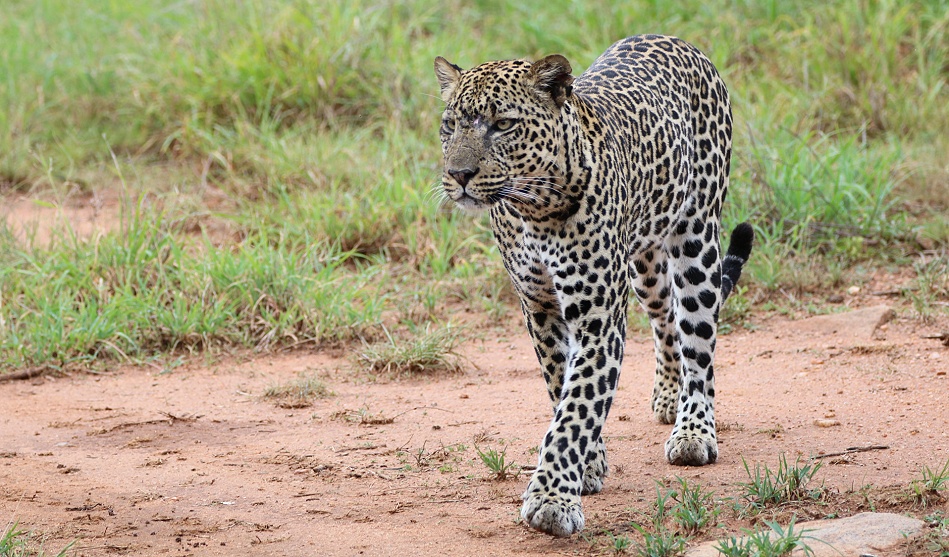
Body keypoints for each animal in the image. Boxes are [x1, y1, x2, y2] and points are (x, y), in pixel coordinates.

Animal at [433, 35, 753, 537]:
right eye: (449, 125)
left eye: (503, 125)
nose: (459, 175)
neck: (534, 211)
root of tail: (674, 39)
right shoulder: (540, 309)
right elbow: (561, 388)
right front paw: (588, 466)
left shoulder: (597, 317)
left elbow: (577, 408)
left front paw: (552, 500)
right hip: (644, 263)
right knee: (666, 317)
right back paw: (668, 393)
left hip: (697, 239)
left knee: (699, 337)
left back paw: (693, 429)